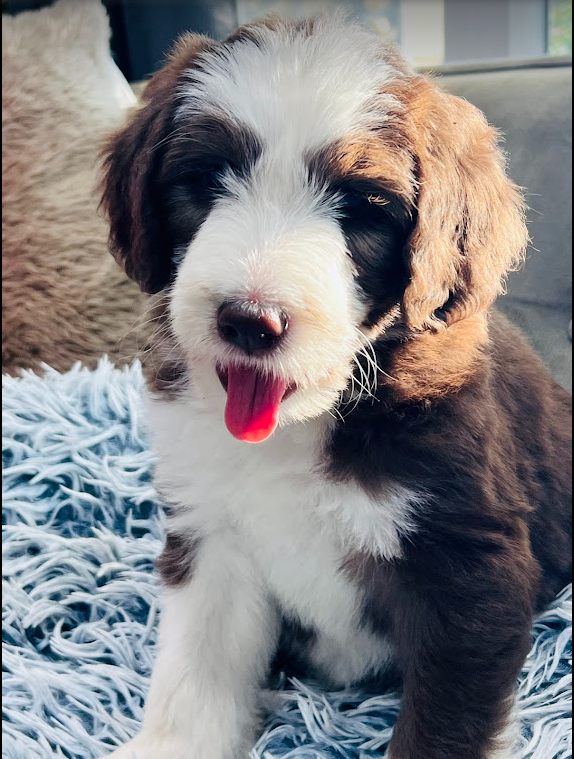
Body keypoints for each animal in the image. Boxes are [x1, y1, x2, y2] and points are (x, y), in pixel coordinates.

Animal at [101, 11, 572, 759]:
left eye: (363, 208)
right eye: (205, 178)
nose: (249, 320)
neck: (299, 427)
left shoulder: (469, 568)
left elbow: (443, 728)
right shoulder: (211, 531)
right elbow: (196, 673)